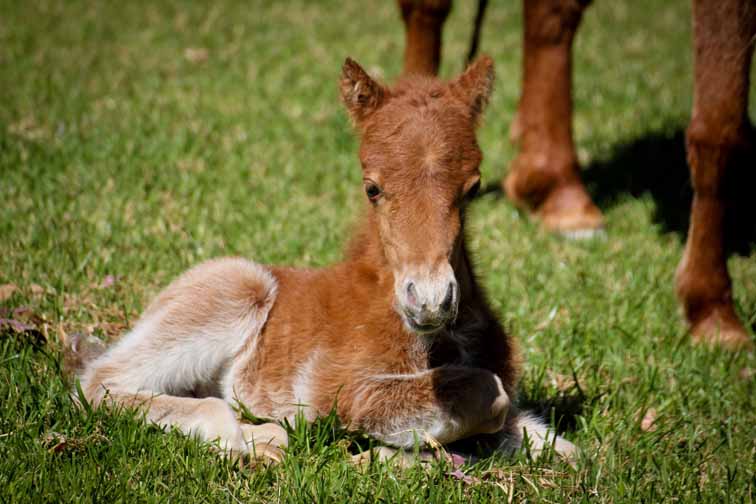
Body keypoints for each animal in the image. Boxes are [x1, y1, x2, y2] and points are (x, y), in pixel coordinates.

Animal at [76, 57, 576, 463]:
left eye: (472, 188)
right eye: (372, 187)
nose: (430, 301)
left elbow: (561, 446)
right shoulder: (345, 389)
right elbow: (485, 392)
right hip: (235, 288)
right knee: (99, 381)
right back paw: (255, 439)